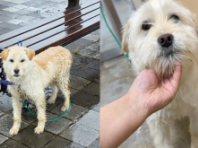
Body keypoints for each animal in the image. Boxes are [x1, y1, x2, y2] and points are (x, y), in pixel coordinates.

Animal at [123, 0, 198, 147]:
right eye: (145, 26)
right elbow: (163, 142)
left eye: (175, 17)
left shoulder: (195, 109)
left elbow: (195, 131)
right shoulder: (156, 121)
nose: (166, 38)